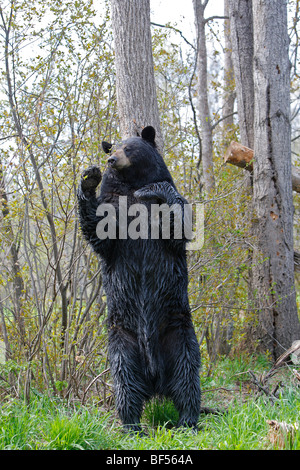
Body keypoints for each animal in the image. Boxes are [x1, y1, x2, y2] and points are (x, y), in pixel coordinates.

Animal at [76, 126, 200, 432]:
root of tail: (155, 381)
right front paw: (89, 178)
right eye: (112, 149)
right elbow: (99, 231)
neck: (131, 187)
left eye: (129, 148)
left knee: (188, 374)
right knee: (125, 381)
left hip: (178, 331)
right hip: (122, 339)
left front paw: (152, 188)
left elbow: (180, 223)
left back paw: (188, 419)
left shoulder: (166, 208)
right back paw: (131, 425)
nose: (111, 160)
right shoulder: (112, 210)